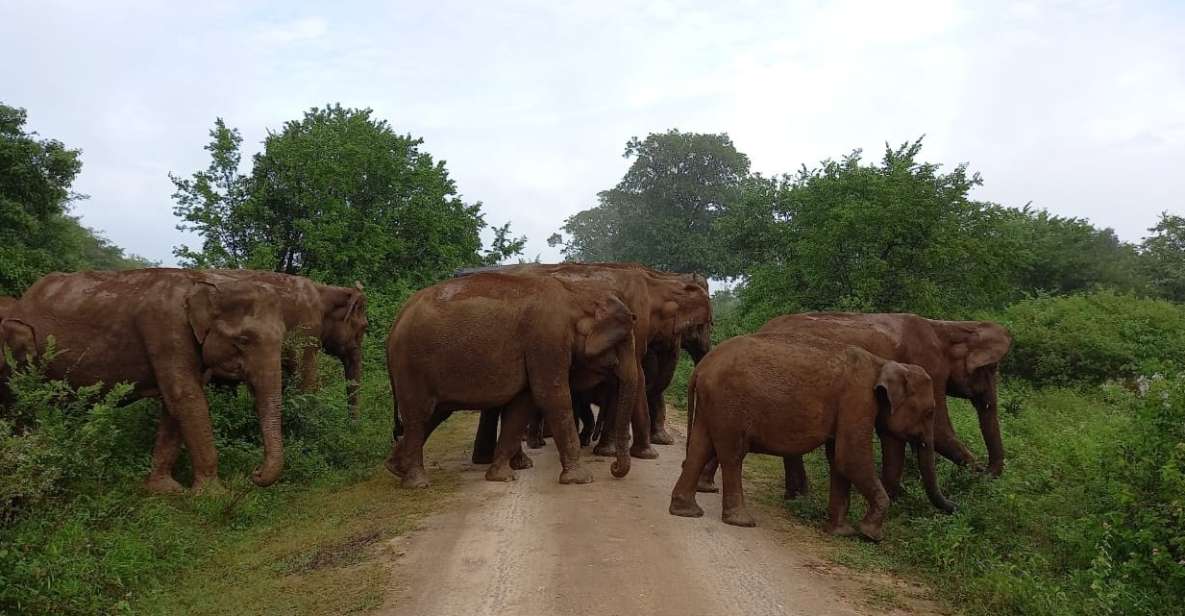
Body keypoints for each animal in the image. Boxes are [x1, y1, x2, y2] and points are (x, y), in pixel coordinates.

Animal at [0, 267, 286, 490]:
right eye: (244, 340)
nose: (254, 473)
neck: (205, 281)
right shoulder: (165, 327)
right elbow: (186, 397)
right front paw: (213, 495)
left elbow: (175, 405)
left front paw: (165, 489)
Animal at [386, 272, 639, 488]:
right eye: (623, 342)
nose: (614, 467)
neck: (577, 293)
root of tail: (398, 319)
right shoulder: (547, 340)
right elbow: (552, 397)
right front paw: (581, 479)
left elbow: (522, 405)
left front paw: (502, 477)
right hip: (411, 365)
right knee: (418, 415)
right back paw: (417, 483)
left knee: (434, 413)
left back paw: (396, 468)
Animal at [668, 331, 952, 540]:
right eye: (929, 412)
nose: (954, 508)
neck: (883, 363)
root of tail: (702, 367)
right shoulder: (857, 399)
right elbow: (851, 458)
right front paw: (870, 535)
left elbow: (838, 459)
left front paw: (841, 533)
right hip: (729, 403)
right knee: (732, 455)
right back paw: (741, 521)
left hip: (713, 402)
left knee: (700, 447)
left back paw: (687, 511)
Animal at [748, 315, 1009, 497]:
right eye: (991, 368)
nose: (987, 472)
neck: (948, 327)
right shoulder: (930, 366)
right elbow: (941, 432)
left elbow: (893, 435)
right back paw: (801, 496)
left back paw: (797, 495)